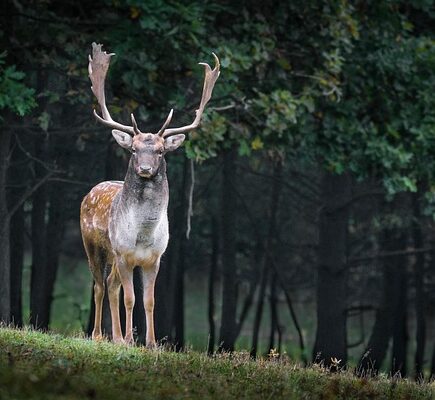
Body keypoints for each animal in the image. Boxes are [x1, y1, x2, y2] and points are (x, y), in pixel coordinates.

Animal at [80, 42, 220, 346]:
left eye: (160, 151)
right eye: (133, 149)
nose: (144, 168)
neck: (143, 235)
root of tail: (91, 191)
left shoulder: (154, 258)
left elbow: (149, 301)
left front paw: (151, 343)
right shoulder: (124, 253)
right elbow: (130, 299)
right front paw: (131, 340)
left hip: (113, 256)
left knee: (111, 285)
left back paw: (116, 337)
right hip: (94, 245)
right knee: (99, 285)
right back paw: (99, 335)